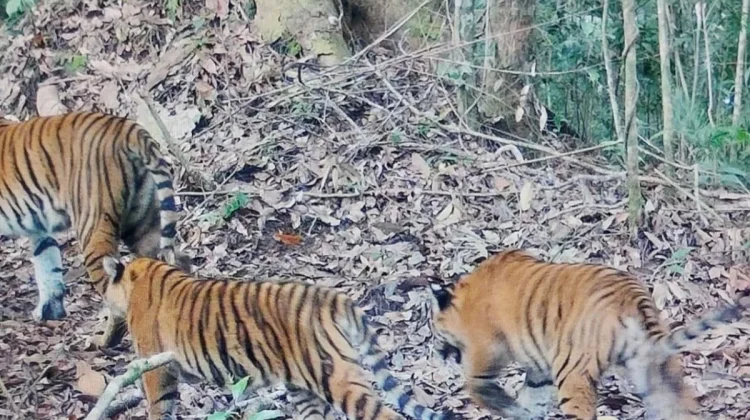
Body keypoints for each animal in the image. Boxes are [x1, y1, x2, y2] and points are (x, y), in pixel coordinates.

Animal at [0, 111, 189, 348]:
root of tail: (127, 128)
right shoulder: (39, 229)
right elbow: (47, 265)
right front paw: (50, 312)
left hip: (93, 230)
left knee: (115, 295)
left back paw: (103, 342)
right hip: (143, 223)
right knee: (178, 263)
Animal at [429, 249, 750, 420]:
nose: (439, 354)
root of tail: (635, 299)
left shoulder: (485, 353)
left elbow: (479, 388)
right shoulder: (539, 366)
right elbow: (532, 397)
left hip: (573, 372)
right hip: (656, 373)